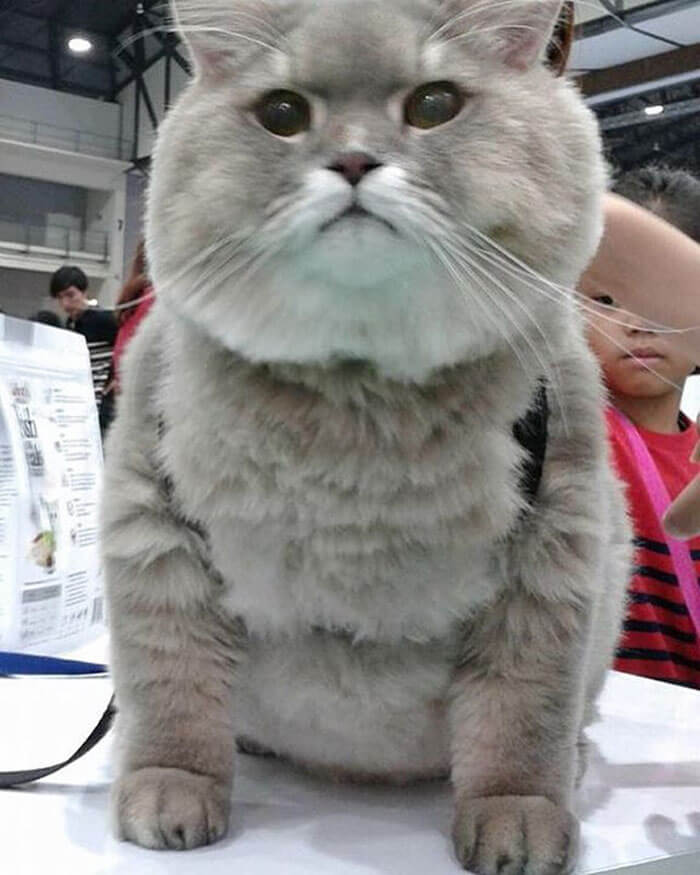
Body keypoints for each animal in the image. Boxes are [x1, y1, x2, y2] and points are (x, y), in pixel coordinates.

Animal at [105, 3, 636, 872]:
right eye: (283, 114)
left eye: (434, 105)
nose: (354, 160)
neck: (357, 396)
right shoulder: (154, 533)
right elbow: (170, 691)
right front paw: (171, 792)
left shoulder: (553, 555)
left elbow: (522, 721)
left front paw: (518, 817)